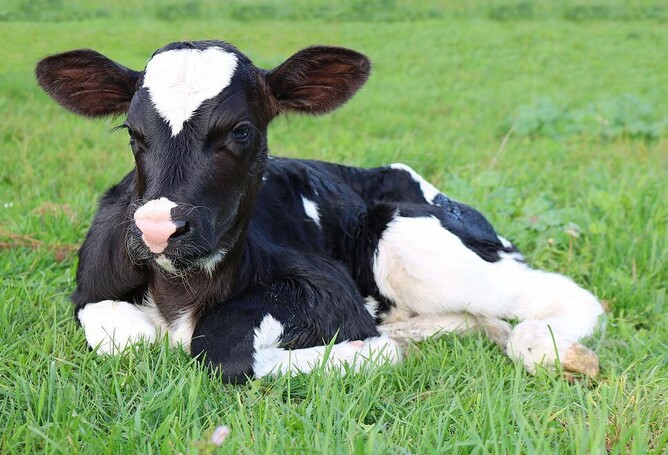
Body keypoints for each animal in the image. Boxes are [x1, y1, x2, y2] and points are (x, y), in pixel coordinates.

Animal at [35, 40, 603, 383]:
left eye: (242, 130)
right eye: (132, 132)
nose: (157, 228)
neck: (181, 293)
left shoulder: (326, 288)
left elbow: (226, 351)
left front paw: (379, 350)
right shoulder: (93, 287)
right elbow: (126, 335)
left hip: (407, 238)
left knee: (563, 297)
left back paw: (545, 347)